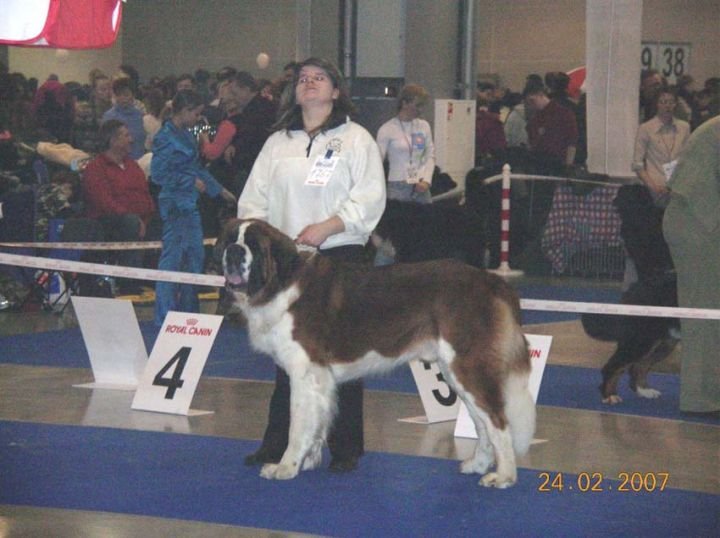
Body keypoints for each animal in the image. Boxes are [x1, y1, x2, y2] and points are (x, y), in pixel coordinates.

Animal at [221, 218, 535, 488]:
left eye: (253, 245)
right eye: (230, 240)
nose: (233, 252)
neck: (282, 281)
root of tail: (490, 280)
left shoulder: (306, 373)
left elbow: (298, 424)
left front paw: (286, 467)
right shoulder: (319, 378)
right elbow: (317, 420)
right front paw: (308, 460)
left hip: (466, 366)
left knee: (497, 420)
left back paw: (504, 476)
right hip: (455, 370)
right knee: (482, 422)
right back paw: (478, 464)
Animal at [581, 185, 679, 404]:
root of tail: (636, 288)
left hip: (663, 340)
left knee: (638, 366)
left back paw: (645, 391)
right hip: (642, 339)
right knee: (614, 366)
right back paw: (610, 396)